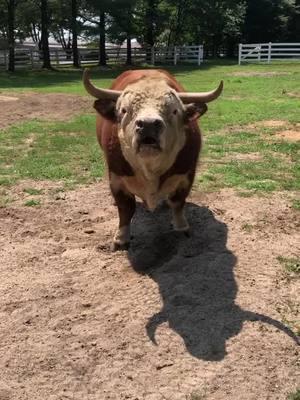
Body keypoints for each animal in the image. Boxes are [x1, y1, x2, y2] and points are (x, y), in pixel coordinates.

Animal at [82, 69, 223, 250]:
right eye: (124, 110)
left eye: (174, 111)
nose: (148, 124)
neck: (150, 169)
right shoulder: (116, 176)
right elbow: (125, 208)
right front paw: (121, 238)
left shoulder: (186, 174)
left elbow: (178, 202)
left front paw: (181, 227)